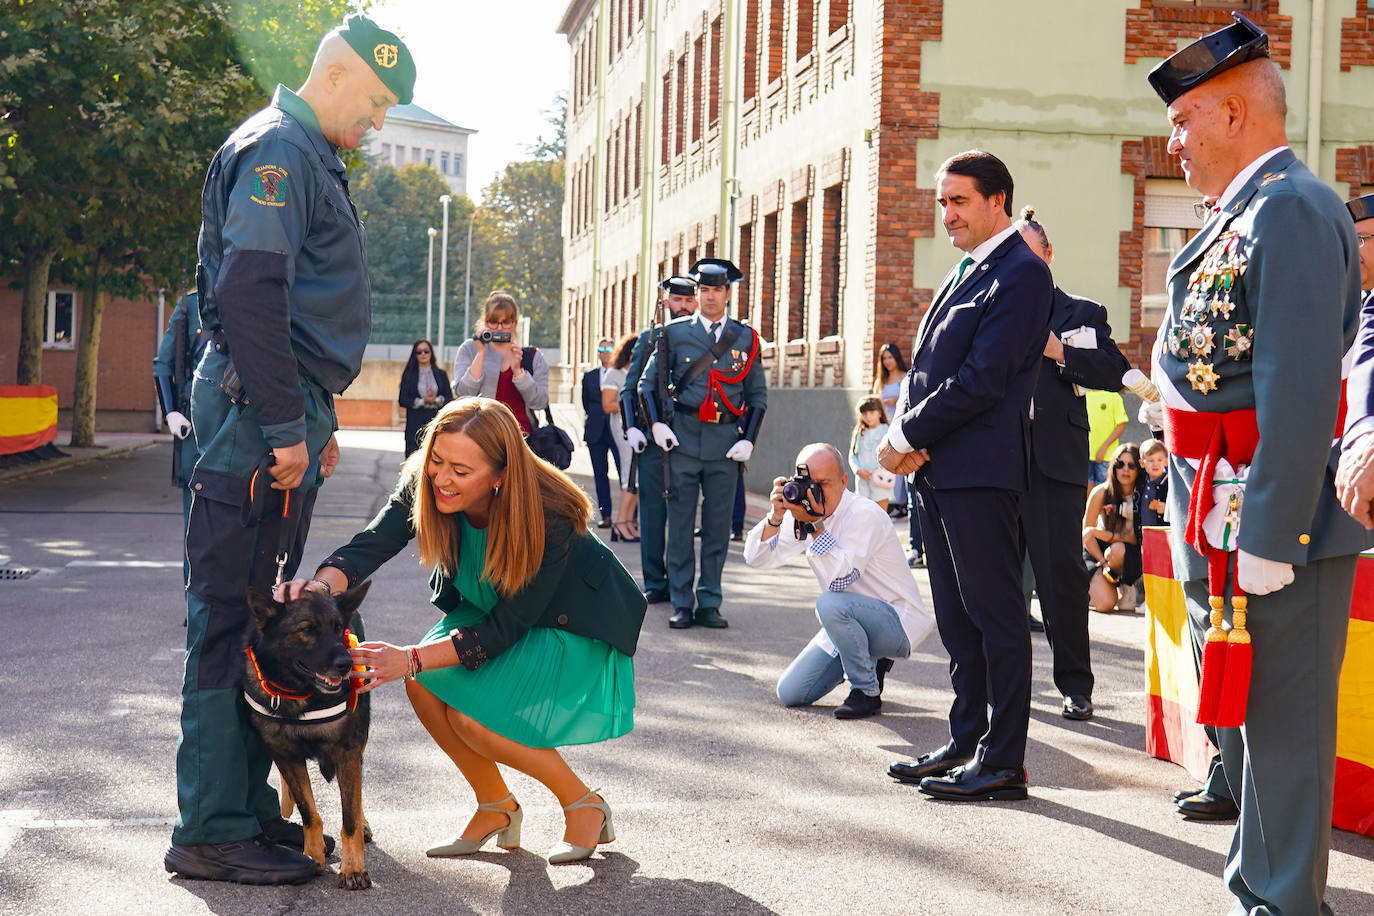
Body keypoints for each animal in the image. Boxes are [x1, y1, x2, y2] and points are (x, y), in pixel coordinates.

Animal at [241, 585, 370, 889]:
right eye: (307, 629)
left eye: (338, 628)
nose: (346, 664)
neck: (299, 694)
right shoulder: (285, 755)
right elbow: (309, 812)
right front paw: (312, 855)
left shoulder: (347, 751)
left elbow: (349, 818)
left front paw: (353, 868)